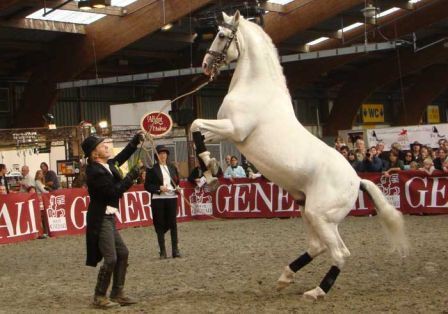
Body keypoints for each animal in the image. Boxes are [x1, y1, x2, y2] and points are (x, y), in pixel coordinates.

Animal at [191, 11, 408, 300]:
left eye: (222, 35)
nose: (205, 65)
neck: (255, 88)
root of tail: (357, 180)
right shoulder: (228, 134)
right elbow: (197, 131)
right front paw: (210, 169)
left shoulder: (234, 129)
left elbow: (194, 124)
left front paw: (210, 168)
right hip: (312, 213)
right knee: (319, 247)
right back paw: (285, 277)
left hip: (320, 215)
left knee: (339, 252)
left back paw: (317, 291)